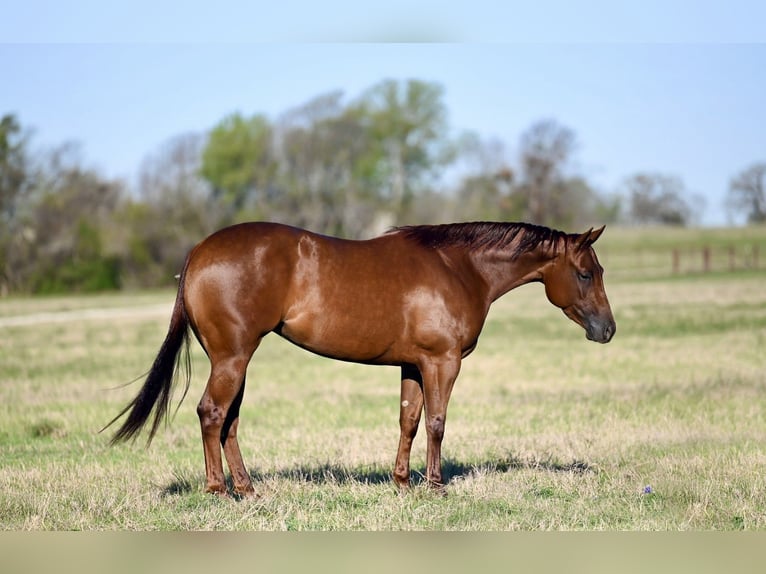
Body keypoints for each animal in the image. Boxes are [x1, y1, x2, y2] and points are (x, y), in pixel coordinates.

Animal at [104, 221, 615, 496]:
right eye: (585, 273)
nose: (607, 330)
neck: (458, 268)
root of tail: (198, 250)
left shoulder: (413, 365)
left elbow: (409, 420)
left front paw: (402, 483)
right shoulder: (443, 362)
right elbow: (437, 422)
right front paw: (436, 486)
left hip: (233, 359)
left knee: (228, 421)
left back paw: (248, 490)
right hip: (233, 357)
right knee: (212, 413)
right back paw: (218, 491)